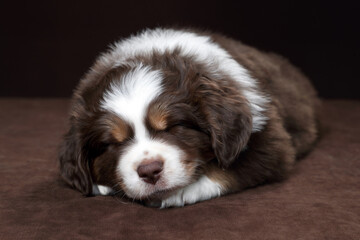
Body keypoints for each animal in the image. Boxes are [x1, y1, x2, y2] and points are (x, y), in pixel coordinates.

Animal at [57, 27, 320, 208]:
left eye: (174, 127)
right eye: (111, 144)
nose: (150, 171)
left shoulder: (271, 145)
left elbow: (228, 169)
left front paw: (181, 191)